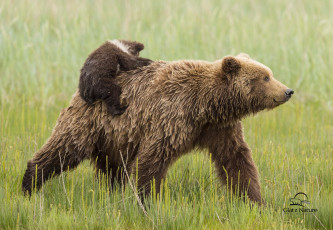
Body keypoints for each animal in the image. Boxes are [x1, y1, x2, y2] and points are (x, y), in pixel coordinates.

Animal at [21, 54, 294, 205]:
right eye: (265, 77)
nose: (288, 90)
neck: (207, 105)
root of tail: (83, 87)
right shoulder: (172, 117)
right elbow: (152, 160)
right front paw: (146, 201)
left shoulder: (218, 129)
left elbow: (237, 161)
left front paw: (254, 200)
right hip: (91, 122)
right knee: (63, 149)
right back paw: (29, 184)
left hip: (115, 137)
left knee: (113, 168)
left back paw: (112, 192)